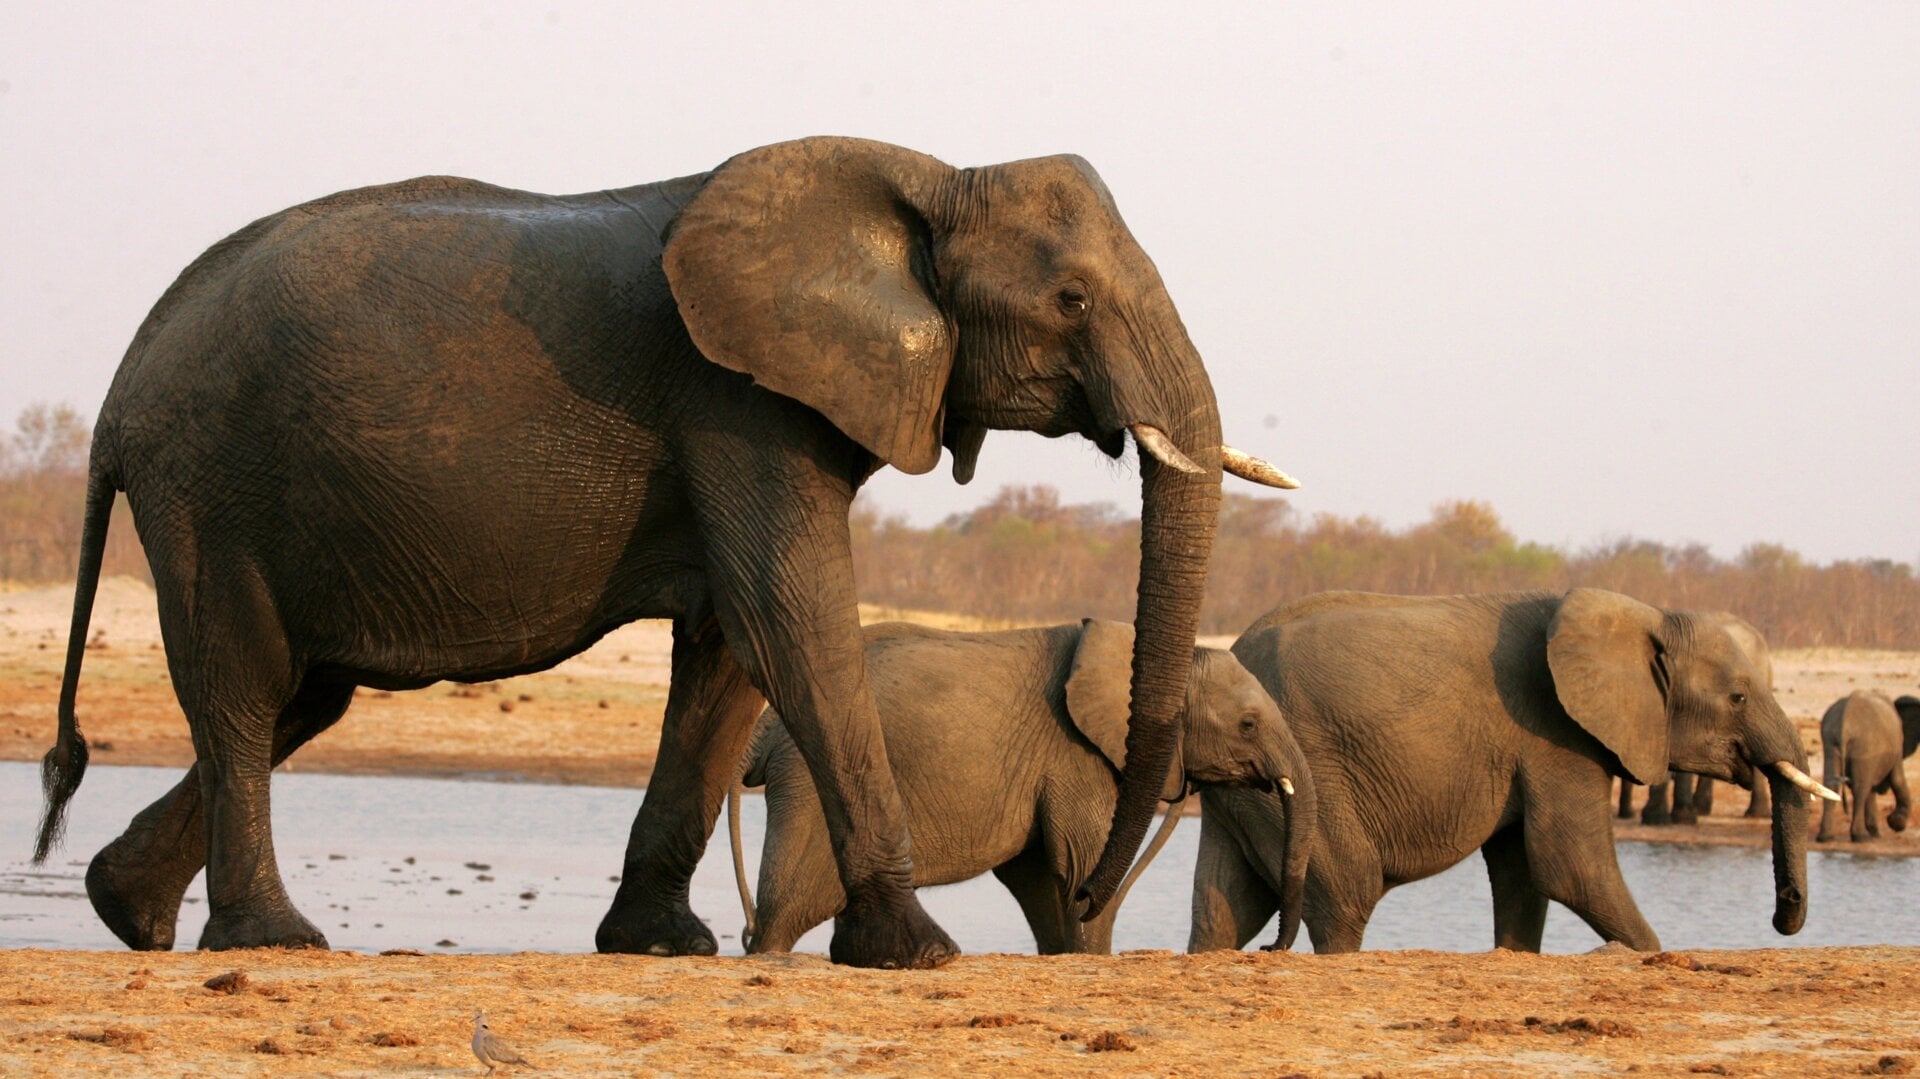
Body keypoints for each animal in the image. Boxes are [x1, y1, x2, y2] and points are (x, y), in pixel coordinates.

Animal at [726, 619, 1315, 955]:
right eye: (1247, 725)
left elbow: (1045, 881)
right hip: (807, 783)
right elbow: (1081, 866)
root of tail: (764, 728)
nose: (1270, 949)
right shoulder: (1075, 756)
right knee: (787, 908)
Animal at [1190, 588, 1838, 955]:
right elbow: (1568, 863)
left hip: (1246, 792)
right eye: (1738, 697)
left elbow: (1524, 872)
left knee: (1224, 909)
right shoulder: (1555, 731)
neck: (1647, 616)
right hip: (1311, 770)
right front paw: (1644, 949)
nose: (1782, 914)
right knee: (1347, 895)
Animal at [1814, 691, 1920, 842]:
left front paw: (1876, 833)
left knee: (1831, 784)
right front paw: (1895, 824)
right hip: (1864, 746)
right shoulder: (1896, 746)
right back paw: (1860, 837)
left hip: (1831, 742)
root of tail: (1845, 721)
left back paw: (1825, 837)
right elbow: (1897, 780)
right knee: (1860, 789)